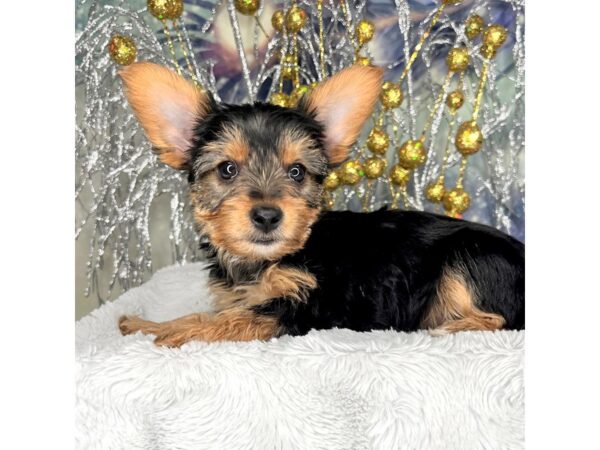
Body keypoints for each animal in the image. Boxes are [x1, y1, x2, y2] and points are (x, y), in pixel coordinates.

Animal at [118, 61, 524, 346]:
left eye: (297, 172)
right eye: (227, 169)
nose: (267, 215)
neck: (267, 261)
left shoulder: (301, 308)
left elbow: (221, 321)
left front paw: (165, 329)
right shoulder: (244, 298)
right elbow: (222, 312)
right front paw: (145, 324)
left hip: (469, 257)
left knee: (499, 319)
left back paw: (446, 327)